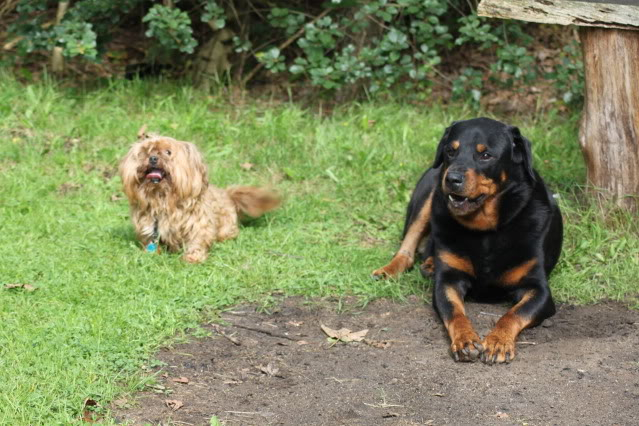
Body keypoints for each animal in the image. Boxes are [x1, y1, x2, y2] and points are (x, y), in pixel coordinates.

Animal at [120, 133, 280, 262]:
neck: (163, 199)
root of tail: (228, 194)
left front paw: (193, 257)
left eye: (168, 152)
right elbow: (150, 241)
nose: (152, 158)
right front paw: (151, 253)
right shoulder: (148, 226)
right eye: (145, 152)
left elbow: (196, 241)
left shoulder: (198, 224)